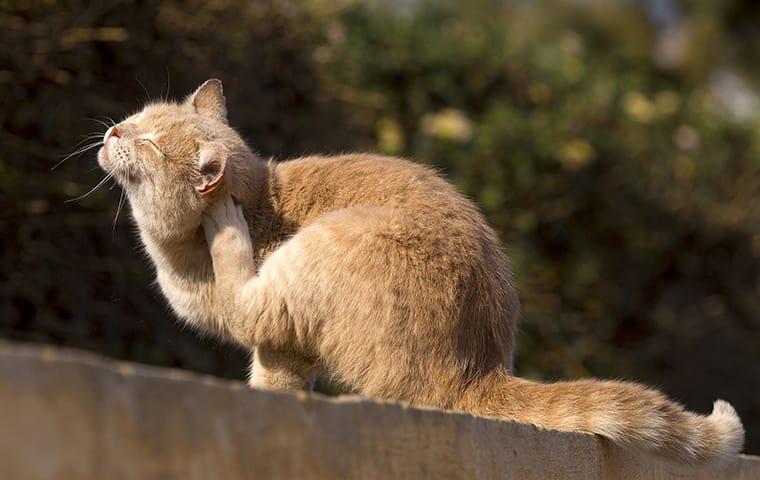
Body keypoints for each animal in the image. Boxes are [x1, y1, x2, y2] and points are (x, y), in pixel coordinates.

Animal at [99, 79, 744, 462]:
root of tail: (479, 370)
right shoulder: (288, 351)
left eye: (151, 141)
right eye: (136, 117)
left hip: (320, 250)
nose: (112, 130)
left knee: (246, 300)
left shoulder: (276, 341)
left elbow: (269, 378)